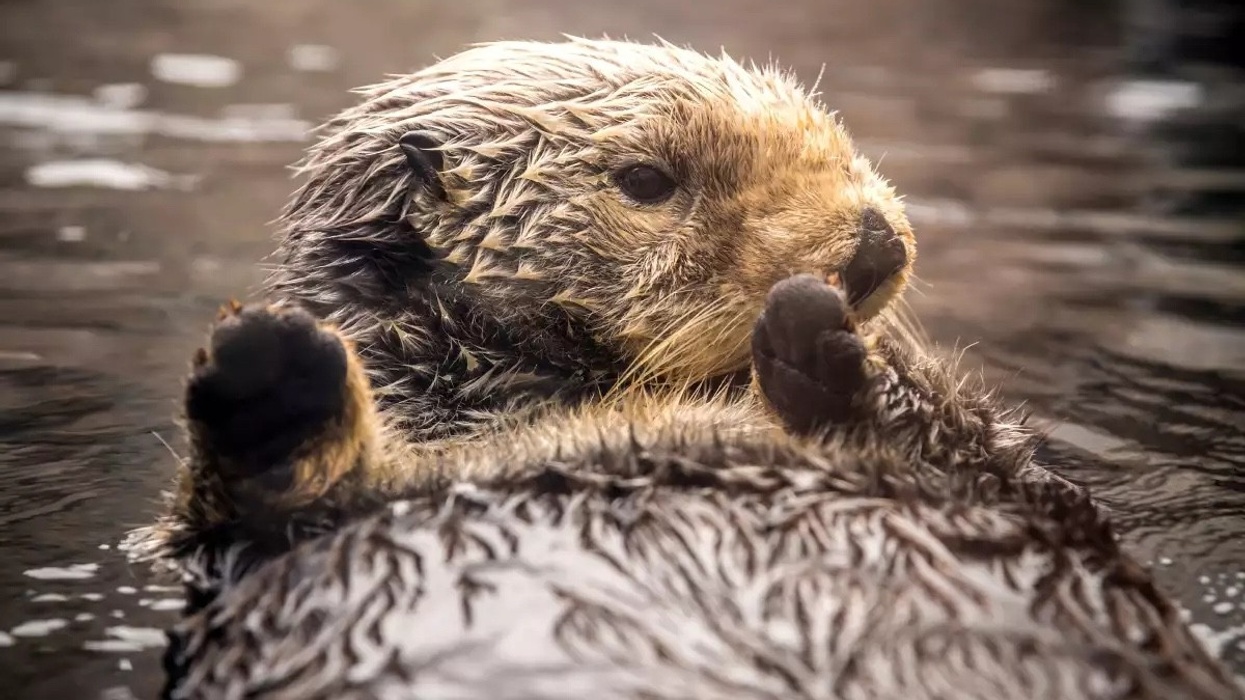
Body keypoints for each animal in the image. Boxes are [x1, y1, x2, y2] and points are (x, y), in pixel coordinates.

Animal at [127, 39, 1241, 700]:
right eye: (647, 180)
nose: (873, 244)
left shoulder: (1024, 488)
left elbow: (1022, 471)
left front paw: (833, 345)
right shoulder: (208, 548)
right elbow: (212, 527)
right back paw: (273, 382)